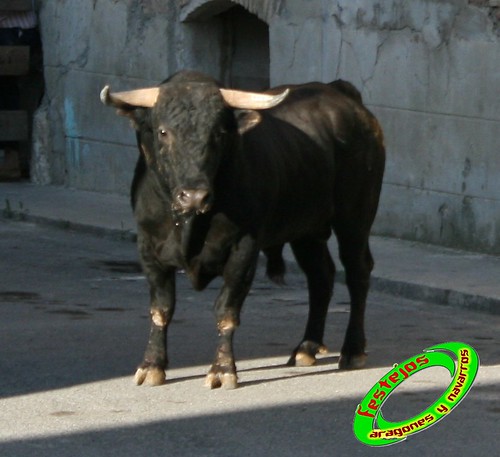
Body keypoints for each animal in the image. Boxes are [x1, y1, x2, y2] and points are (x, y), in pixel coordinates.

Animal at [99, 69, 384, 386]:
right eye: (163, 131)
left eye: (219, 133)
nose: (194, 196)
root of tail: (342, 94)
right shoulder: (149, 249)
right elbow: (161, 309)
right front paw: (152, 366)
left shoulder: (243, 250)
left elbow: (226, 309)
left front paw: (222, 370)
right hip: (306, 230)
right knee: (321, 275)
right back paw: (306, 347)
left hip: (355, 218)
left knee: (357, 272)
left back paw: (353, 350)